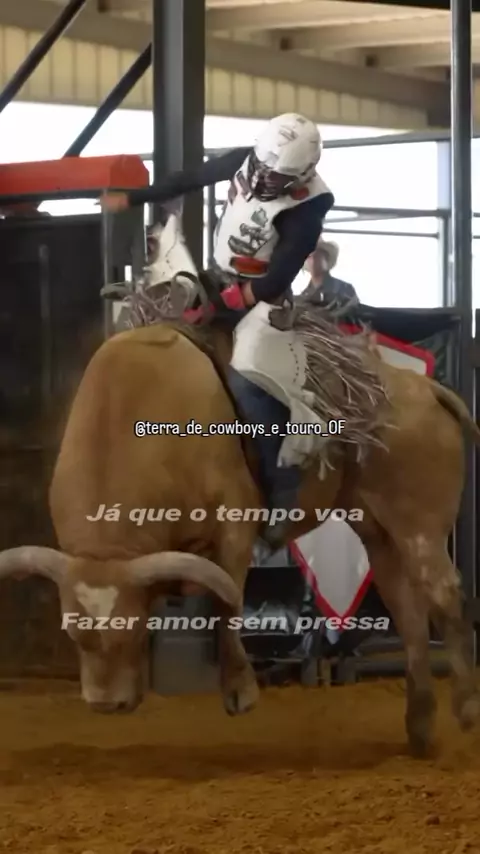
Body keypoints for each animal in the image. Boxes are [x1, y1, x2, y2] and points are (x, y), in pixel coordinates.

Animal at [0, 214, 478, 759]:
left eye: (134, 630)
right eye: (75, 634)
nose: (105, 703)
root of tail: (424, 390)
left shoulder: (234, 523)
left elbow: (226, 604)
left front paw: (240, 689)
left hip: (421, 523)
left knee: (444, 594)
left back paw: (466, 708)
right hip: (378, 526)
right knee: (407, 607)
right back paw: (419, 724)